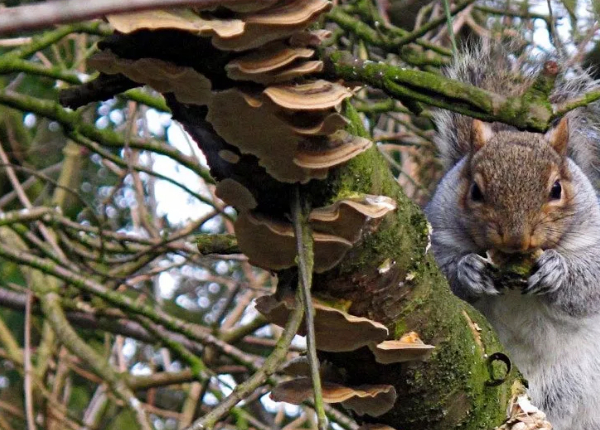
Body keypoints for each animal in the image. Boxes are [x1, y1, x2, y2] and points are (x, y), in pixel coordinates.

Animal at [426, 42, 600, 430]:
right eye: (475, 191)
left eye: (556, 189)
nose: (516, 241)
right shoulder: (436, 232)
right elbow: (439, 268)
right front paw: (467, 270)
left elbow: (591, 283)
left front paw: (557, 271)